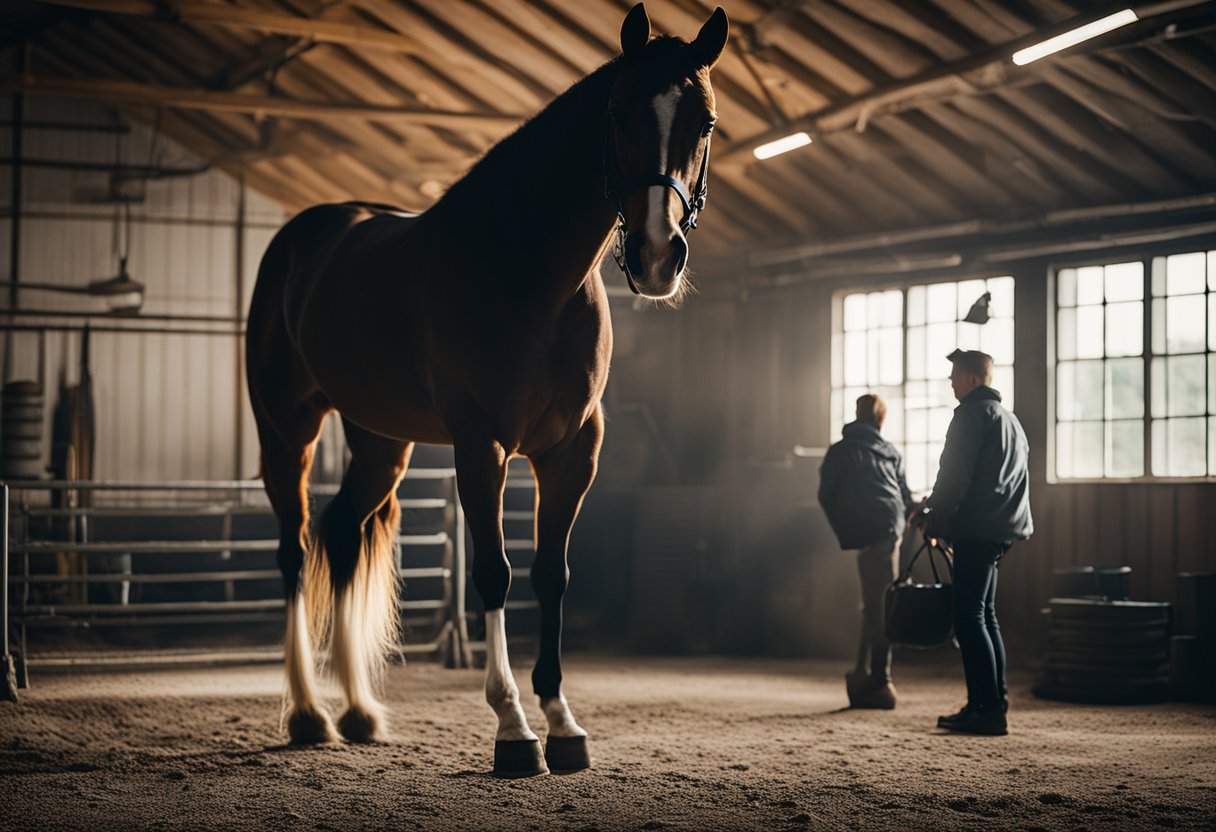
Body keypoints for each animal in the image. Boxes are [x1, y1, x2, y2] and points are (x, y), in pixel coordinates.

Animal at [245, 2, 728, 778]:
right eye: (618, 112)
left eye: (704, 121)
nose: (657, 256)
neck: (528, 274)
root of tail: (300, 239)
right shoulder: (482, 447)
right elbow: (494, 576)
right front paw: (514, 730)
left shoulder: (572, 453)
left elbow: (552, 574)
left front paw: (562, 723)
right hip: (287, 428)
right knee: (294, 549)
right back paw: (308, 714)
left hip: (381, 442)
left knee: (343, 534)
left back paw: (359, 713)